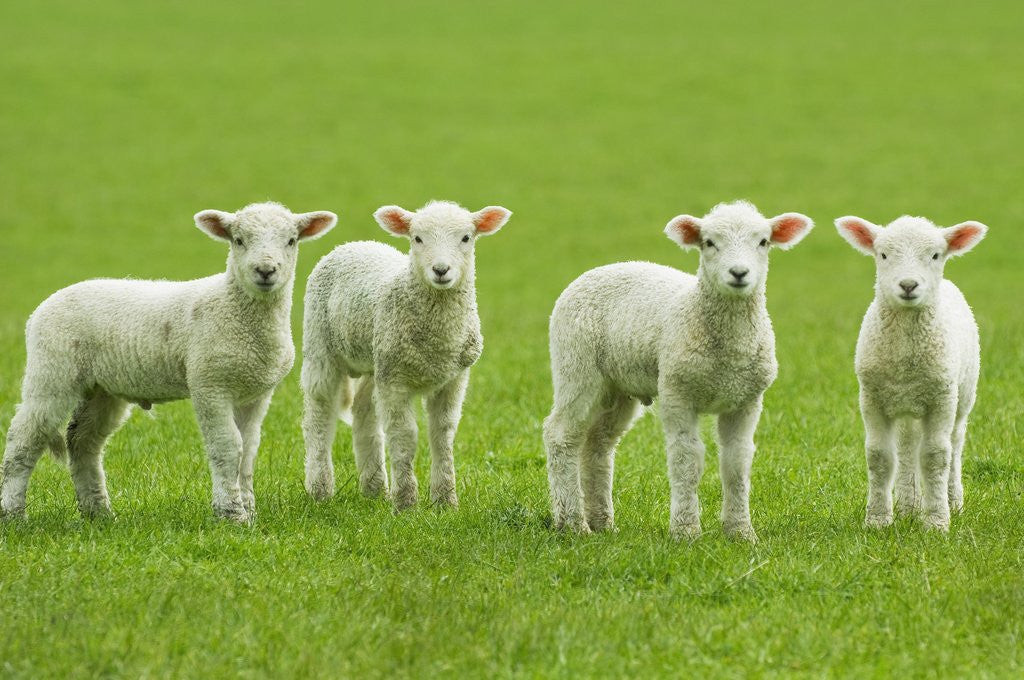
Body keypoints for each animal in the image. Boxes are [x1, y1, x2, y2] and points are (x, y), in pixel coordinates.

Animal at [0, 202, 337, 522]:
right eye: (238, 240)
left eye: (291, 241)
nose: (265, 270)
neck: (233, 308)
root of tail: (43, 307)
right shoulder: (209, 384)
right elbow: (228, 447)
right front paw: (231, 514)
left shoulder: (256, 393)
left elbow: (248, 451)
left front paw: (249, 511)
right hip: (53, 370)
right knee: (24, 437)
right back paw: (13, 514)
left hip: (101, 388)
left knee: (83, 441)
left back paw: (99, 514)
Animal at [301, 200, 511, 510]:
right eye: (417, 238)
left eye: (466, 238)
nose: (441, 270)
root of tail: (353, 244)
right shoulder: (396, 381)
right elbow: (404, 435)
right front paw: (406, 503)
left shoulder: (454, 378)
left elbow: (443, 434)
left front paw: (445, 501)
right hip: (321, 345)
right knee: (319, 415)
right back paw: (320, 489)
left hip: (377, 360)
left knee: (364, 412)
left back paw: (375, 489)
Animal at [543, 201, 813, 542]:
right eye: (709, 242)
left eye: (763, 242)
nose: (739, 273)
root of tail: (597, 270)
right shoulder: (677, 392)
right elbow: (687, 458)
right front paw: (686, 531)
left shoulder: (746, 400)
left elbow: (737, 462)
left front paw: (740, 533)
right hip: (576, 366)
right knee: (561, 436)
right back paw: (573, 524)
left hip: (617, 388)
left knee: (598, 444)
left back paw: (603, 522)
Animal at [835, 214, 986, 531]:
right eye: (883, 255)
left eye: (935, 255)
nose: (908, 285)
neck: (904, 356)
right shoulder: (872, 398)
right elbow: (879, 457)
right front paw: (878, 520)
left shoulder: (941, 398)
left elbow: (935, 457)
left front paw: (937, 521)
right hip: (906, 405)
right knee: (906, 450)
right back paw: (908, 507)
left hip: (963, 396)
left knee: (955, 445)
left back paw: (953, 501)